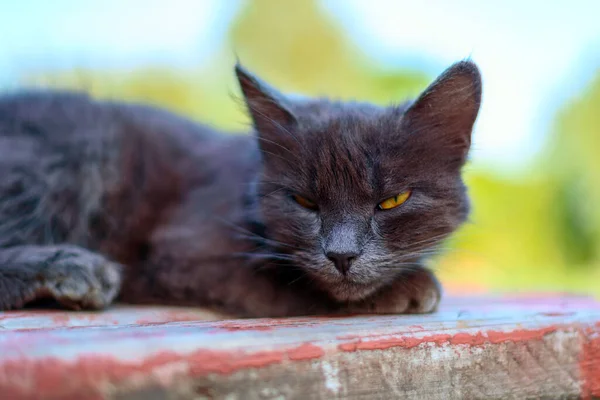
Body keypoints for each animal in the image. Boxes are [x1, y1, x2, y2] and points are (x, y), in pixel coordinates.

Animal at [0, 61, 480, 318]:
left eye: (392, 201)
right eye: (303, 201)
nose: (342, 256)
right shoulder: (183, 251)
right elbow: (287, 285)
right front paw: (409, 288)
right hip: (80, 150)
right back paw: (71, 269)